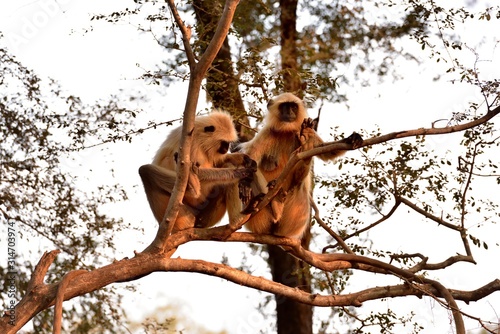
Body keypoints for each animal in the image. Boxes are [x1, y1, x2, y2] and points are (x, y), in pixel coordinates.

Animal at [236, 92, 362, 240]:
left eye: (293, 107)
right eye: (285, 106)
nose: (289, 112)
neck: (286, 131)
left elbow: (326, 151)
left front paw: (352, 138)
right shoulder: (267, 132)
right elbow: (250, 158)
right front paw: (244, 184)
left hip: (295, 220)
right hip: (258, 220)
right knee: (254, 167)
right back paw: (262, 204)